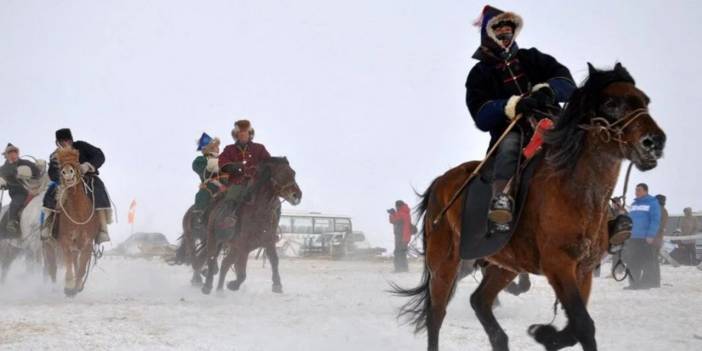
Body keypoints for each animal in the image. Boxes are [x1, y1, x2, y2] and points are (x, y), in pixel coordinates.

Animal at [45, 147, 100, 298]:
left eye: (76, 160)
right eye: (59, 163)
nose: (67, 172)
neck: (79, 215)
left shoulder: (87, 243)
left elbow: (81, 268)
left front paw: (77, 286)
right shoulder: (66, 241)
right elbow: (69, 262)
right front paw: (69, 286)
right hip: (51, 246)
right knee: (54, 267)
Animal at [202, 158, 304, 296]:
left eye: (293, 173)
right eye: (281, 174)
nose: (297, 195)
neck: (259, 212)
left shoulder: (268, 242)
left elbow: (274, 260)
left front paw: (277, 285)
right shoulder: (243, 247)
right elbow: (241, 274)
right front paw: (232, 285)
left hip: (233, 247)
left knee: (224, 264)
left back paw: (219, 291)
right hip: (214, 238)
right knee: (212, 258)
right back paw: (207, 286)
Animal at [398, 64, 668, 351]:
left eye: (645, 101)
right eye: (610, 103)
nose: (654, 142)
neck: (575, 192)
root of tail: (440, 182)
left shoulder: (583, 270)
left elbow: (576, 327)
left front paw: (546, 335)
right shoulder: (558, 265)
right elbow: (583, 325)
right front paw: (543, 333)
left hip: (503, 265)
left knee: (479, 300)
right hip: (444, 264)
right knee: (436, 315)